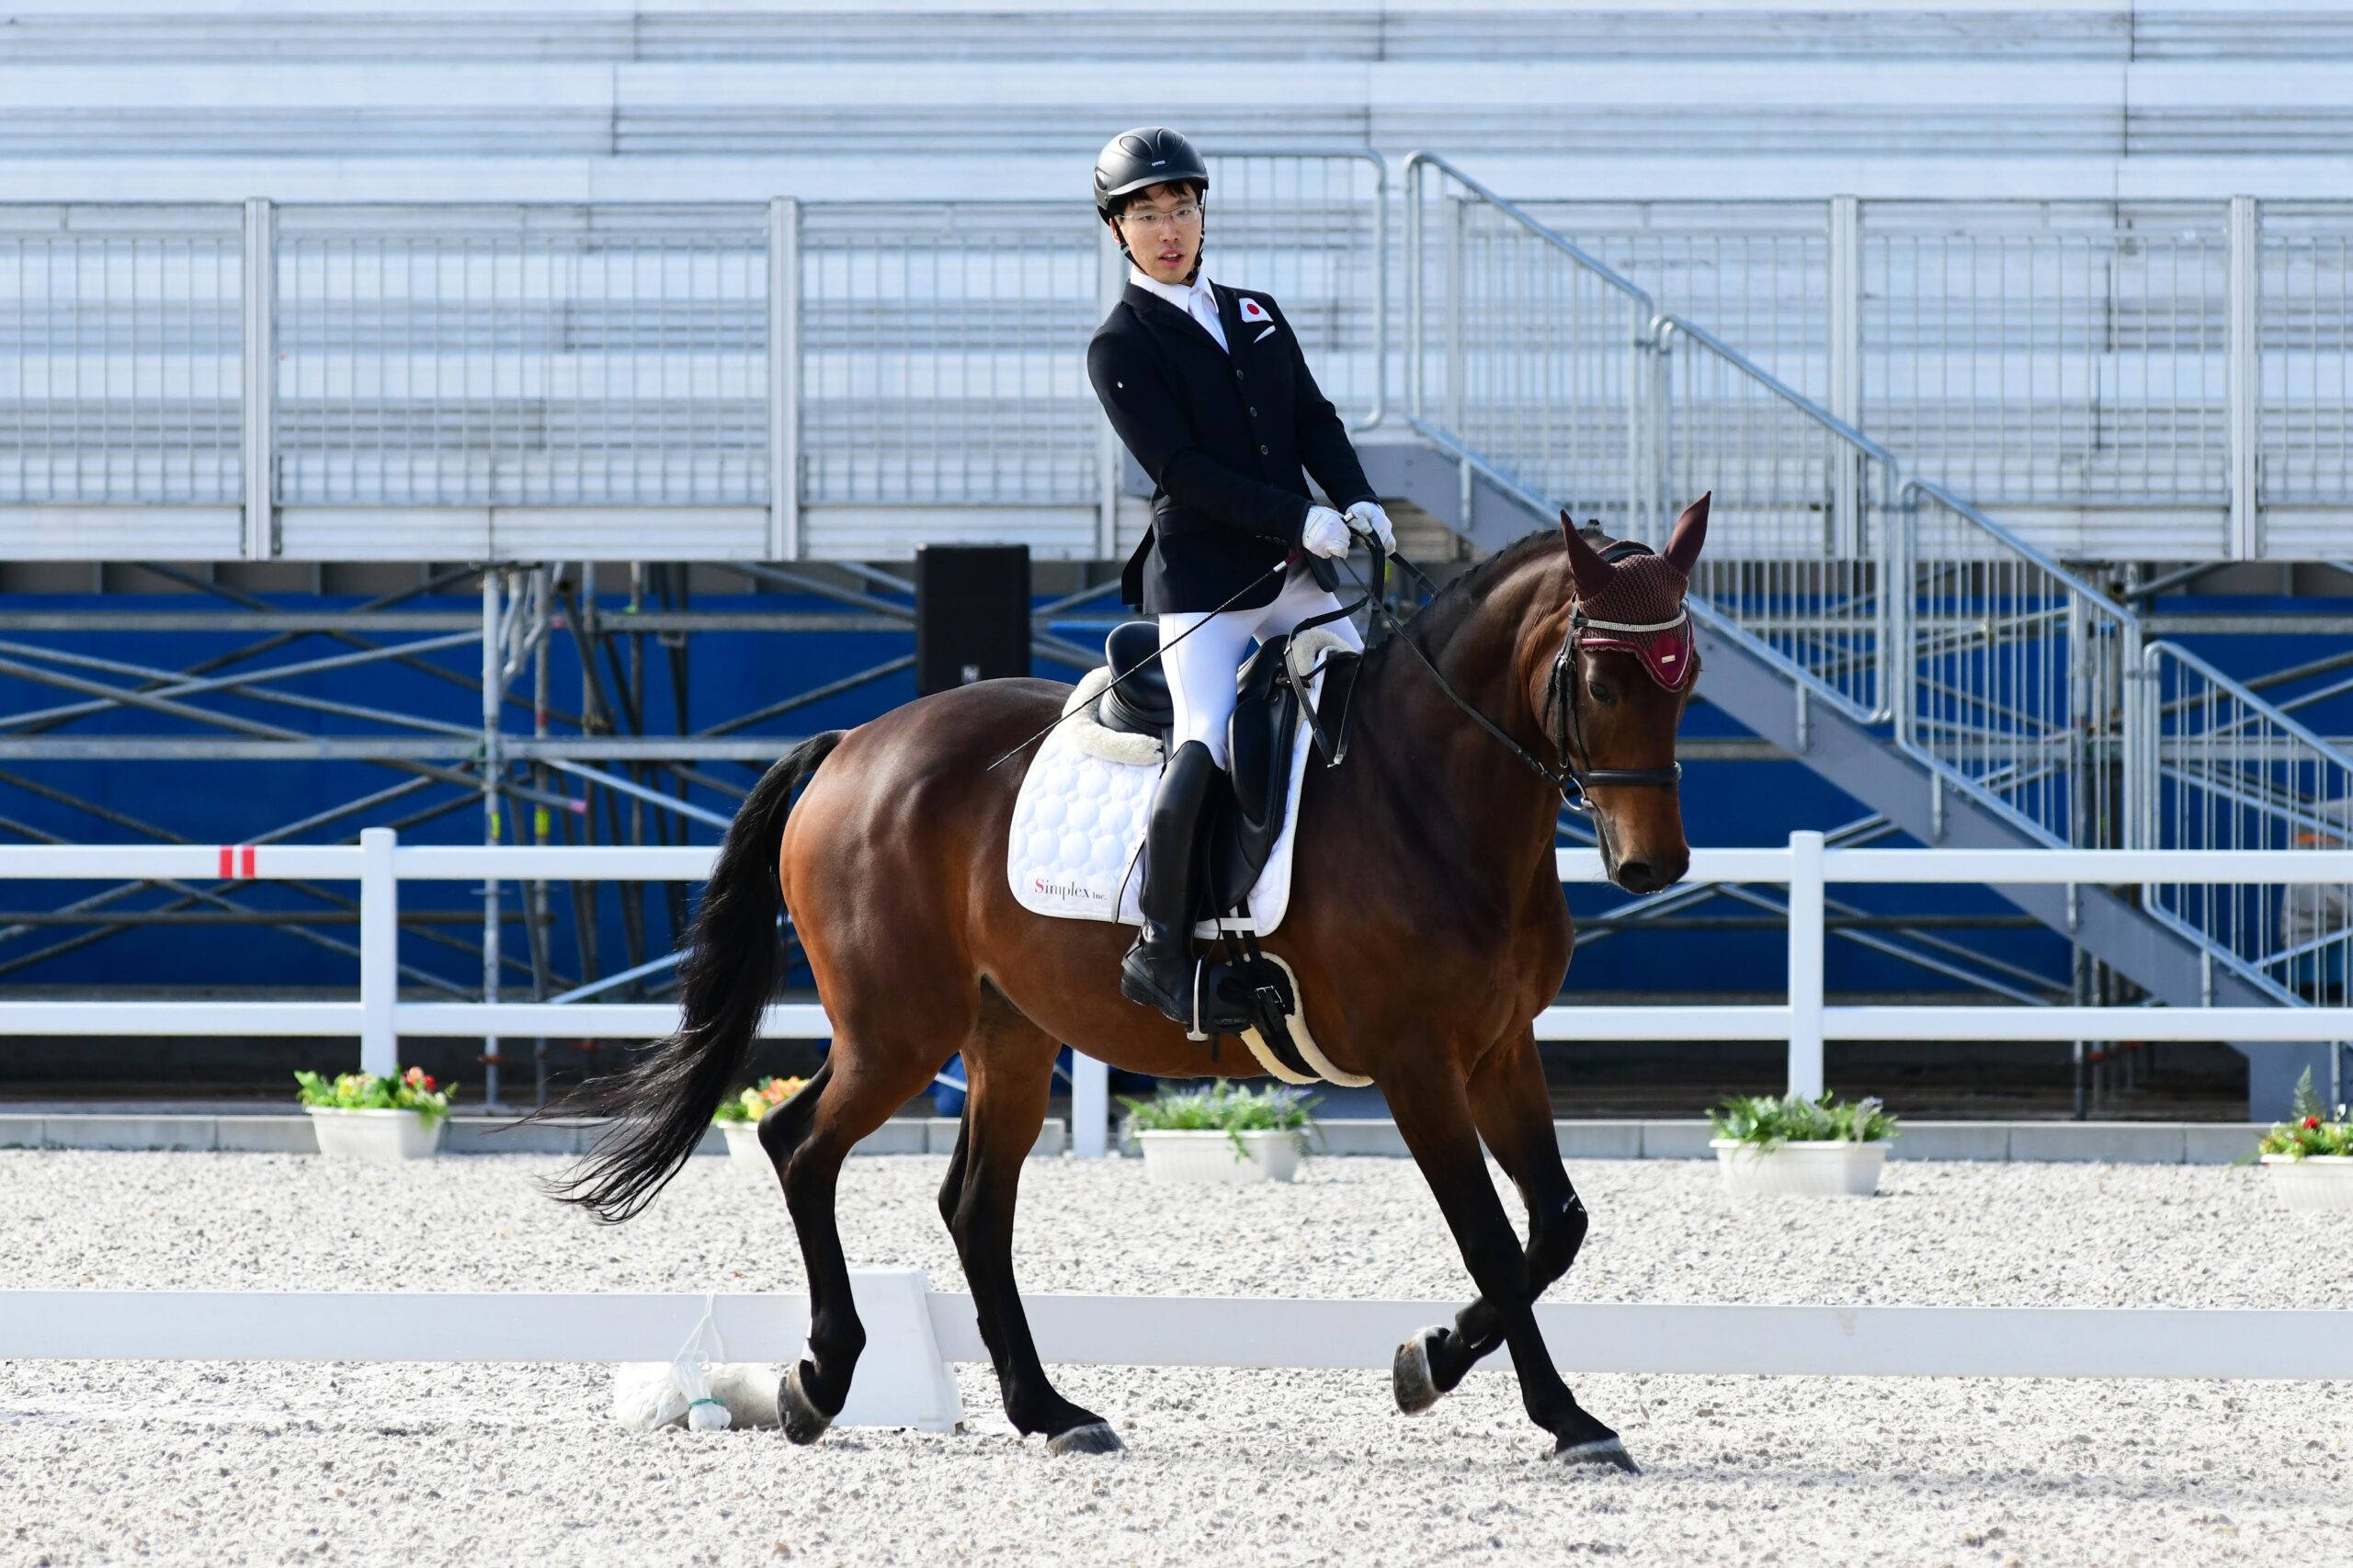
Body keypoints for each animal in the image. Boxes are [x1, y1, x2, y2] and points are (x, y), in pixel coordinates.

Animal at [551, 492, 1712, 1469]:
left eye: (1687, 674)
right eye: (1602, 680)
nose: (1650, 867)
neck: (1428, 790)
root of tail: (851, 745)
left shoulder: (1500, 1047)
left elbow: (1555, 1225)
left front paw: (1453, 1367)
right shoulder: (1417, 1062)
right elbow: (1494, 1243)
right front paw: (1531, 1404)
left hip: (1008, 1031)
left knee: (973, 1204)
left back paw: (1050, 1409)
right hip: (897, 1031)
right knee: (800, 1147)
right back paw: (820, 1379)